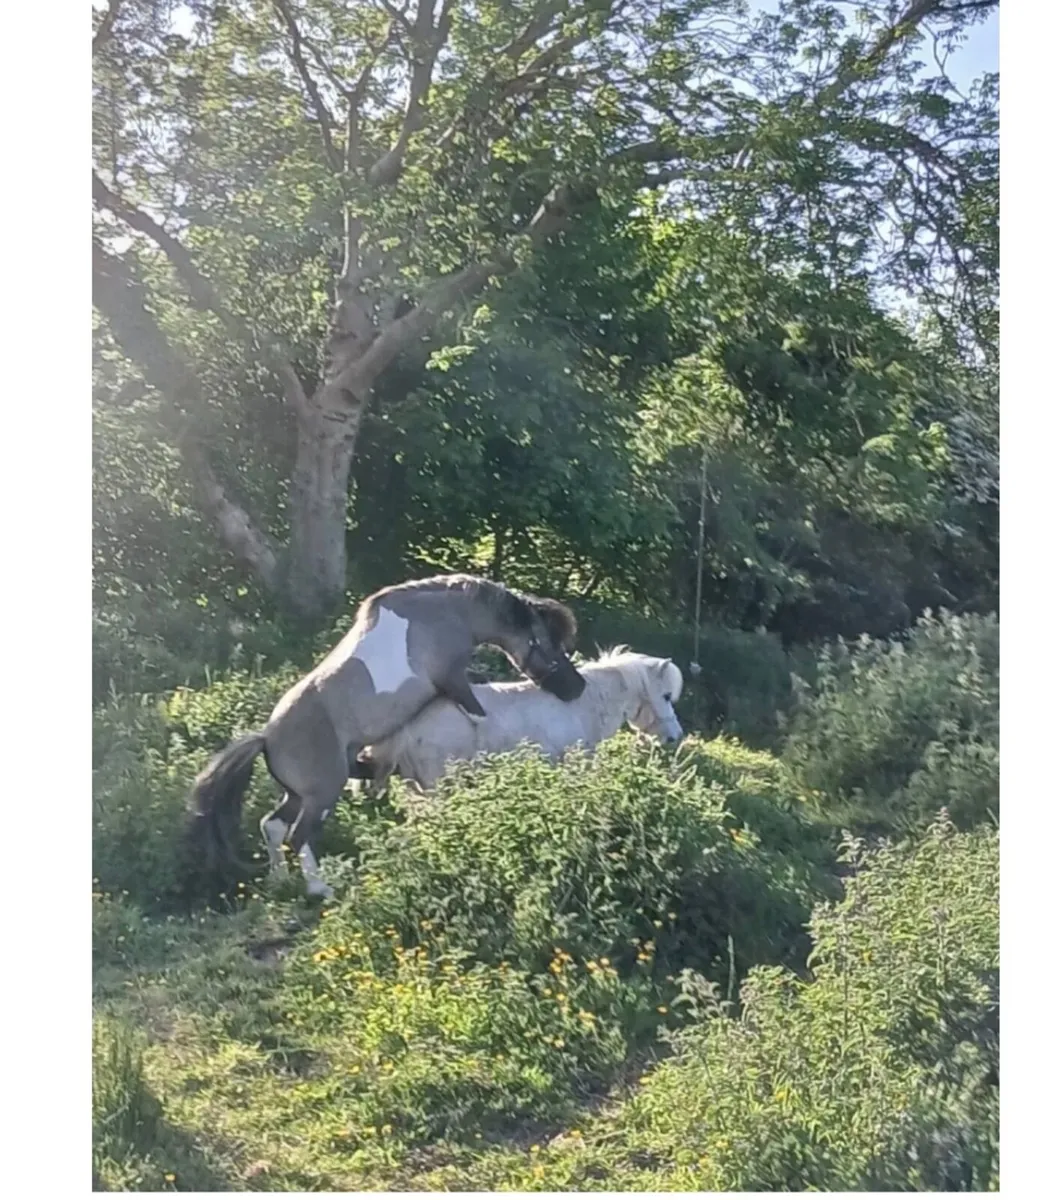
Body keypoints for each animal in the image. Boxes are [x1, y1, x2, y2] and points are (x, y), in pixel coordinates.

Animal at [185, 574, 586, 897]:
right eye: (549, 644)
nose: (577, 687)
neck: (447, 613)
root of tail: (267, 738)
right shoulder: (453, 680)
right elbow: (478, 712)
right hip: (321, 794)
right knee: (297, 836)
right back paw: (320, 889)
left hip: (299, 795)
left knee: (272, 826)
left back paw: (279, 880)